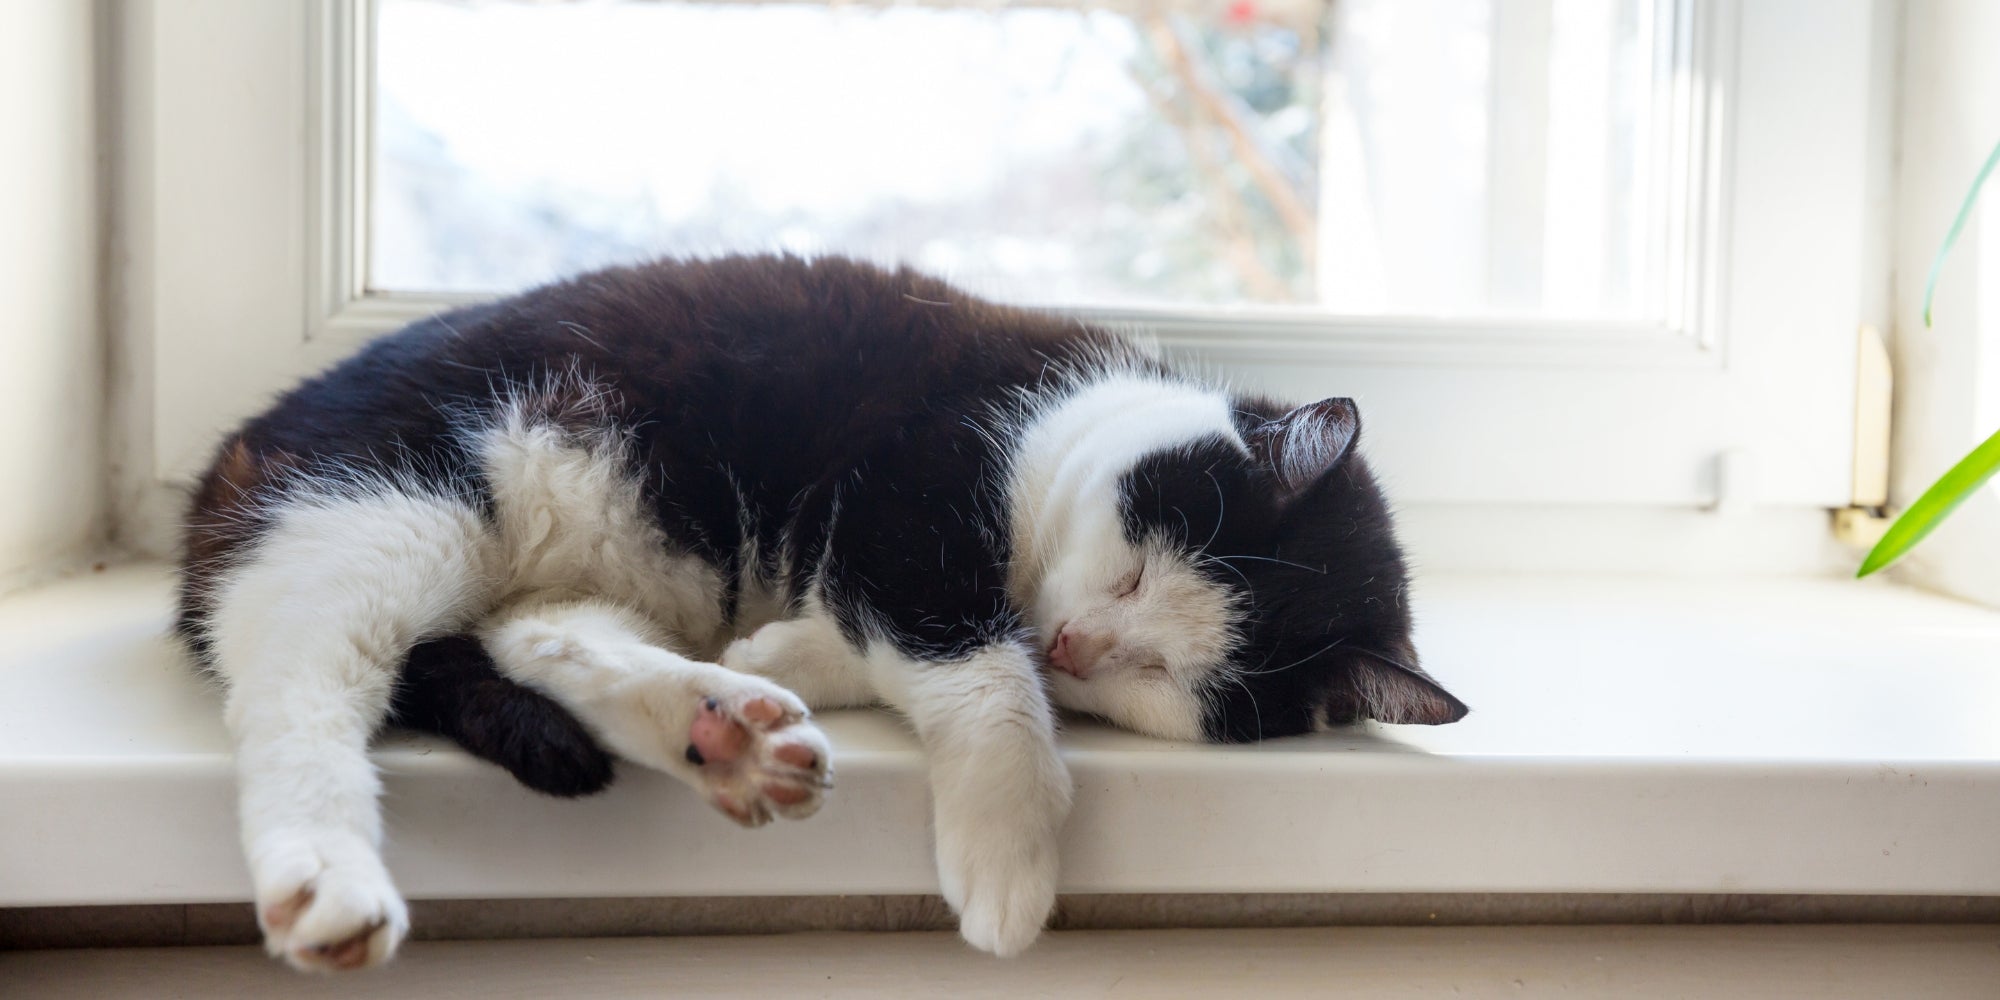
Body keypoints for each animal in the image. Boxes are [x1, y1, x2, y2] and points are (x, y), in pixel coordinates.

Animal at [176, 254, 1472, 972]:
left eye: (1165, 674)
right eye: (1137, 574)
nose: (1077, 644)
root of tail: (235, 452)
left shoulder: (886, 562)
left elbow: (892, 635)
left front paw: (783, 649)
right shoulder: (908, 483)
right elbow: (979, 672)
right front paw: (1007, 853)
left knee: (538, 633)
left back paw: (723, 723)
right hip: (393, 504)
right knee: (297, 682)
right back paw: (325, 876)